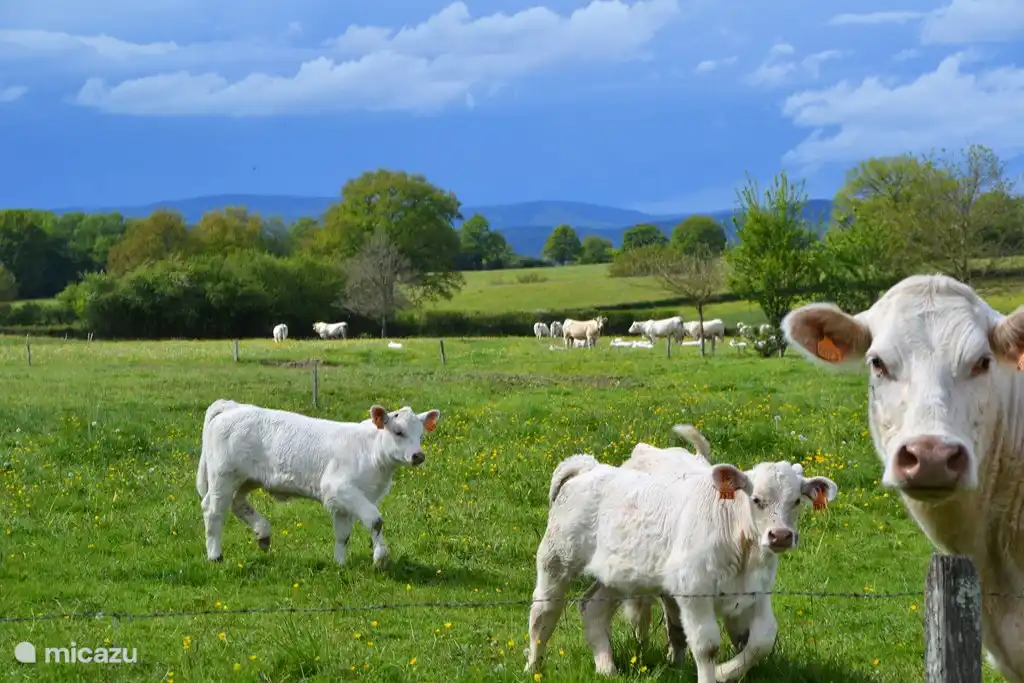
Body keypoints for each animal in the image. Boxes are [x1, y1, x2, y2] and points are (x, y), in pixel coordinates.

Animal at [195, 399, 440, 568]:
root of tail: (231, 406)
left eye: (421, 435)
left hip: (247, 479)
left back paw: (263, 533)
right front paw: (380, 558)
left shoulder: (346, 502)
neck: (371, 451)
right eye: (398, 432)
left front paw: (340, 564)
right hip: (223, 477)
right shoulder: (339, 488)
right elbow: (375, 520)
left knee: (237, 504)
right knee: (213, 511)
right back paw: (215, 556)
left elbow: (343, 534)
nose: (418, 456)